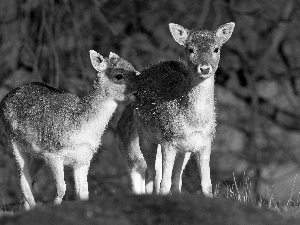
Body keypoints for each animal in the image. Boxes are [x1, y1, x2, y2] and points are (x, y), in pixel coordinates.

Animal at [116, 22, 234, 196]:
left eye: (216, 49)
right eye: (190, 49)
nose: (205, 69)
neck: (194, 122)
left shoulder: (205, 143)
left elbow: (207, 185)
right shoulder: (168, 141)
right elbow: (164, 184)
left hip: (183, 151)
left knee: (176, 179)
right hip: (146, 137)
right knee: (151, 175)